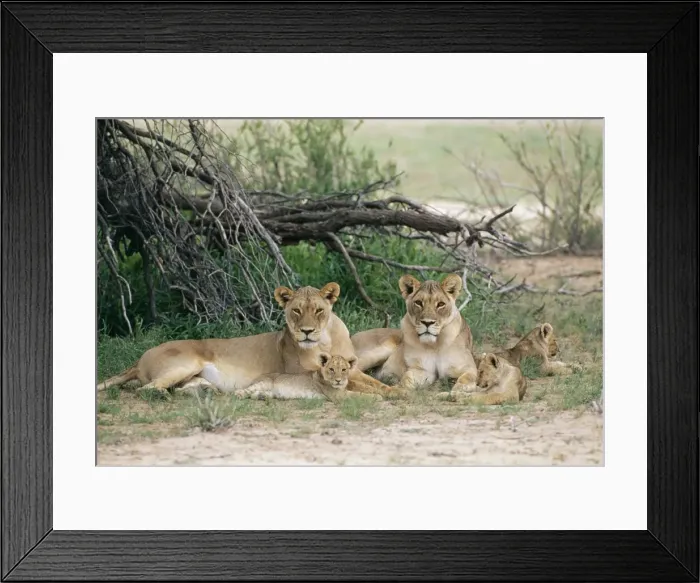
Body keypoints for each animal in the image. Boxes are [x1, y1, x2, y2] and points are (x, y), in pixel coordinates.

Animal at [98, 282, 398, 398]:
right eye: (296, 310)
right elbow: (360, 386)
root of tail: (139, 360)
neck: (325, 340)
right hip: (185, 363)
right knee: (146, 389)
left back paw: (206, 392)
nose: (306, 331)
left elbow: (372, 382)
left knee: (182, 388)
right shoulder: (312, 374)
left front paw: (397, 390)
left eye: (318, 310)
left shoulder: (353, 369)